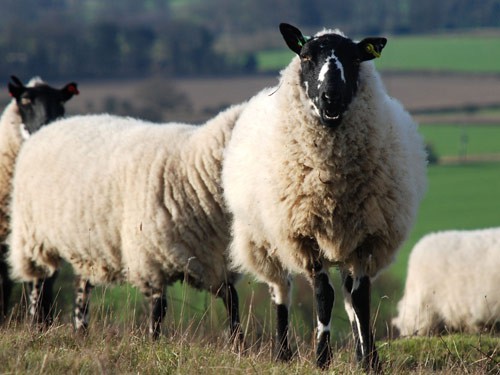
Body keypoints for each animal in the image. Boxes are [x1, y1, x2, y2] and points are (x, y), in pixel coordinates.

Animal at [8, 104, 246, 342]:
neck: (191, 167)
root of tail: (47, 128)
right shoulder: (150, 261)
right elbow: (158, 310)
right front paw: (153, 342)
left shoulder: (216, 264)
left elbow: (233, 302)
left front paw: (238, 345)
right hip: (35, 237)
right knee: (39, 285)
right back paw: (36, 326)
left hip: (87, 246)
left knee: (81, 289)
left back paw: (80, 331)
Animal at [223, 24, 426, 374]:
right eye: (306, 57)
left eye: (355, 59)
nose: (331, 97)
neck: (333, 180)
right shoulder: (305, 236)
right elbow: (322, 296)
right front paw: (322, 358)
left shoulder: (366, 239)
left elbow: (360, 299)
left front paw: (369, 361)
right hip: (265, 241)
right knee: (282, 291)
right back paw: (283, 352)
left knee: (348, 296)